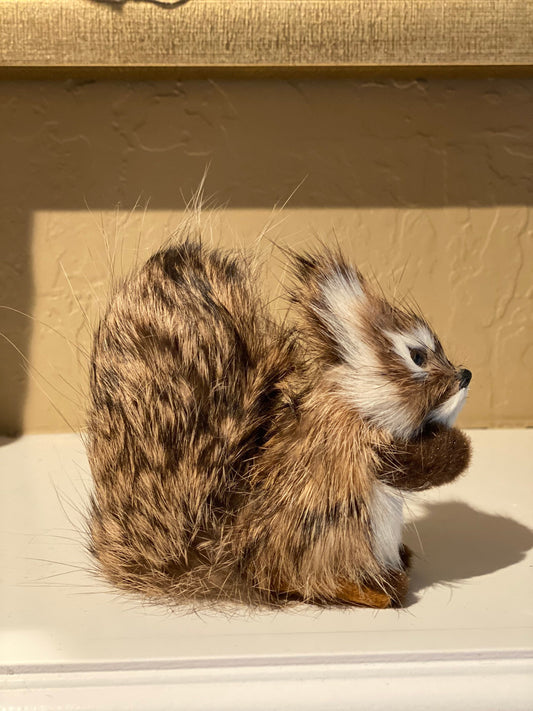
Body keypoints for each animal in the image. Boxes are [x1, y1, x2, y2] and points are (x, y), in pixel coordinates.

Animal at [86, 236, 470, 608]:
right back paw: (374, 589)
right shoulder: (358, 440)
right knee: (298, 583)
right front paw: (459, 449)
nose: (465, 375)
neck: (357, 399)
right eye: (417, 355)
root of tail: (234, 563)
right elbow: (412, 465)